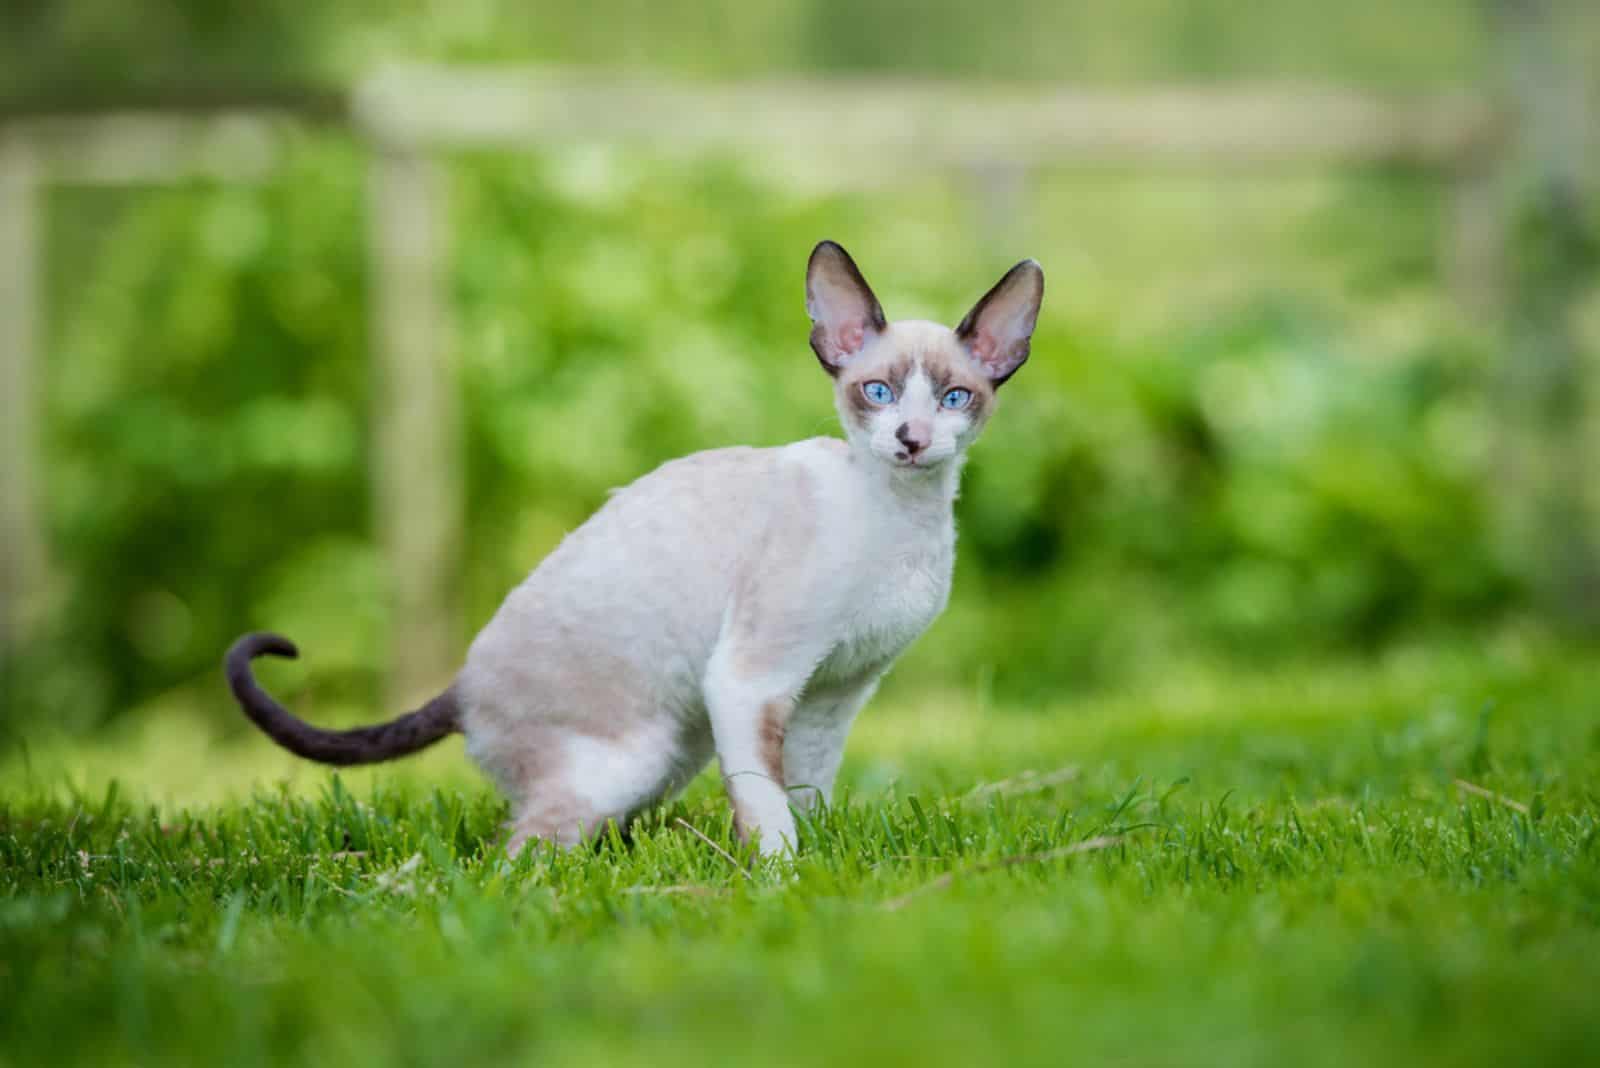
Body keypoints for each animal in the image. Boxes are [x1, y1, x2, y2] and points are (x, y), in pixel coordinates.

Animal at [228, 238, 1049, 856]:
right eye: (877, 392)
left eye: (954, 399)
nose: (910, 440)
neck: (901, 517)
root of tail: (460, 683)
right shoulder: (751, 680)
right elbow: (768, 810)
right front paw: (785, 881)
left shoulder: (834, 693)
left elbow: (806, 791)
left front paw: (819, 863)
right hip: (631, 758)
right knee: (514, 854)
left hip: (677, 752)